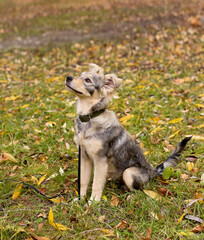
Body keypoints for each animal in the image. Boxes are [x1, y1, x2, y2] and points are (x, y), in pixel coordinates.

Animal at [65, 62, 191, 202]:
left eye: (87, 80)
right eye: (80, 75)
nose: (68, 77)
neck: (89, 118)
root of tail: (151, 172)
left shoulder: (100, 160)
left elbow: (96, 184)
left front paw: (93, 203)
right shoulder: (84, 157)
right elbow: (83, 181)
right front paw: (80, 200)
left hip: (129, 172)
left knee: (139, 191)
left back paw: (130, 196)